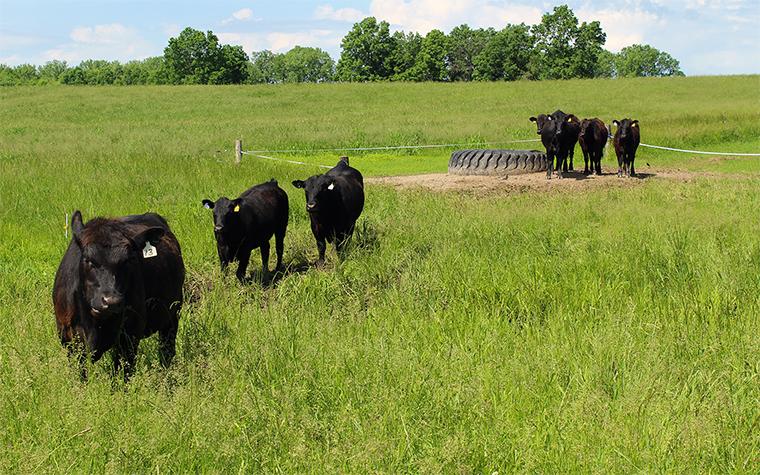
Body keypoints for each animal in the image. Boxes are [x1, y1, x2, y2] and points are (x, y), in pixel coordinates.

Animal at [53, 211, 184, 380]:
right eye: (88, 260)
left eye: (128, 260)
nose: (112, 301)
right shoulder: (69, 338)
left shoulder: (130, 336)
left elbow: (121, 375)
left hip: (172, 315)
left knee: (166, 352)